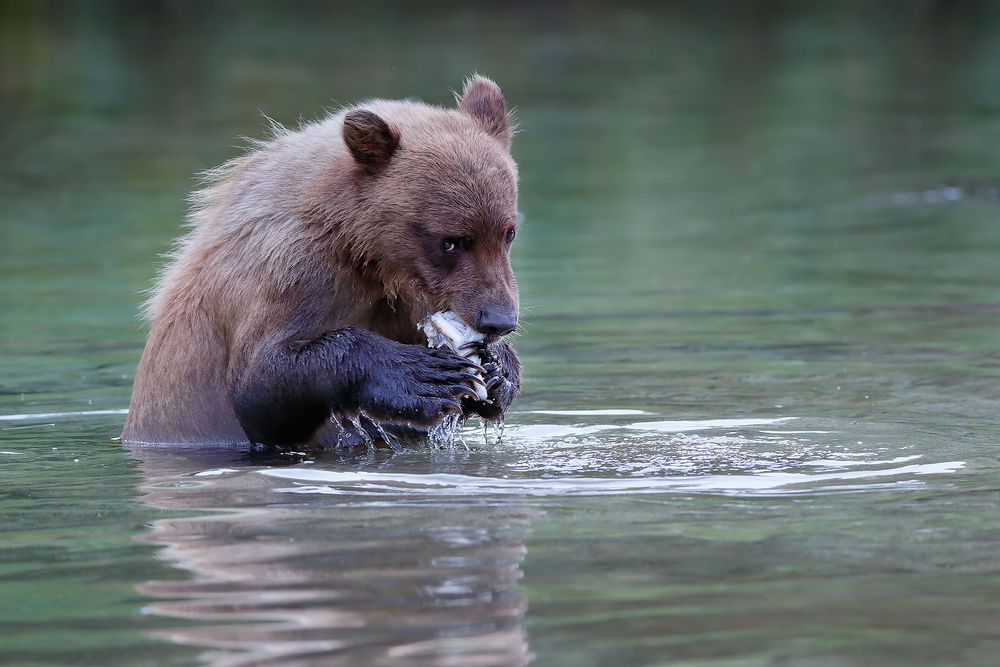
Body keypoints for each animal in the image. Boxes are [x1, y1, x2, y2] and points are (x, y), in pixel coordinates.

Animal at [122, 75, 521, 449]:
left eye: (508, 233)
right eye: (450, 241)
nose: (499, 319)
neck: (363, 247)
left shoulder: (410, 291)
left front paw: (499, 371)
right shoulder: (292, 269)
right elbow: (259, 380)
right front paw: (428, 377)